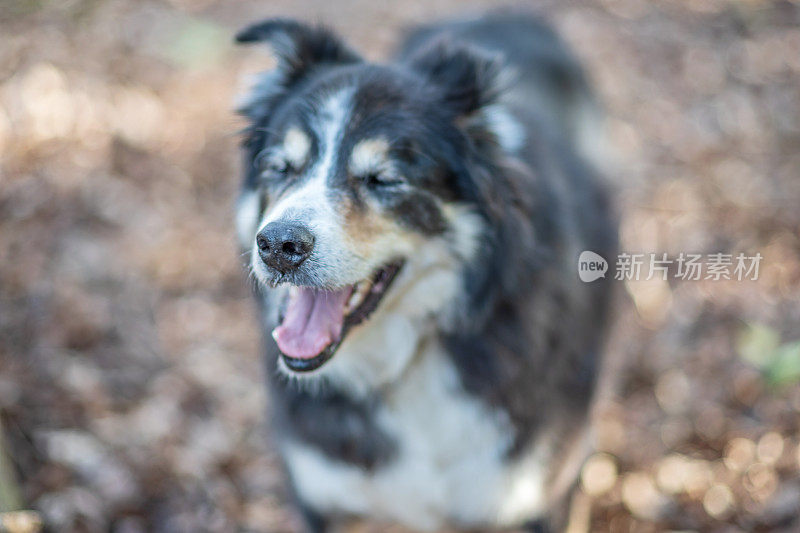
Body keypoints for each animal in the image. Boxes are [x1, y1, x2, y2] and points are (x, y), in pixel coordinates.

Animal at [234, 12, 616, 532]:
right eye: (279, 167)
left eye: (384, 179)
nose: (277, 246)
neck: (408, 360)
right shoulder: (323, 495)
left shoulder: (535, 496)